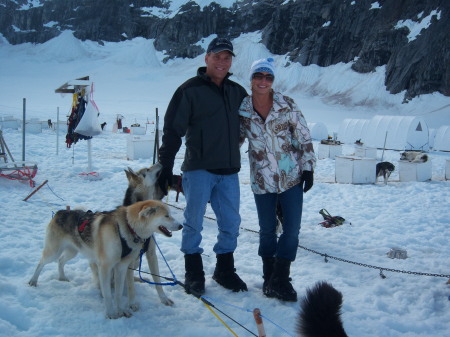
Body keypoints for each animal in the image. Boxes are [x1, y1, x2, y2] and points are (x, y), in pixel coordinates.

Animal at [28, 200, 181, 318]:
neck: (127, 227)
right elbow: (108, 294)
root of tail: (61, 212)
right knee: (41, 262)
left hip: (73, 251)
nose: (181, 225)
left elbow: (118, 293)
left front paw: (121, 310)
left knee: (60, 261)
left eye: (170, 214)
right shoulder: (106, 267)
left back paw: (62, 277)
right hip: (53, 252)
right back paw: (33, 281)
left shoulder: (121, 267)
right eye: (167, 216)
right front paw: (111, 313)